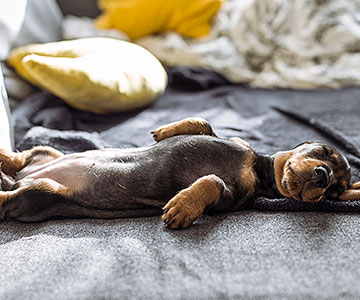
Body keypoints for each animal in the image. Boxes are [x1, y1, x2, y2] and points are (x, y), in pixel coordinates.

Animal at [0, 116, 360, 229]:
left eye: (336, 191)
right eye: (324, 152)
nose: (323, 177)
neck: (256, 167)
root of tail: (22, 179)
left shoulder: (230, 197)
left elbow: (212, 180)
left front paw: (183, 206)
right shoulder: (232, 142)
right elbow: (204, 124)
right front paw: (165, 131)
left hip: (39, 192)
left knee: (8, 197)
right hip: (44, 155)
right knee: (21, 157)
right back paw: (5, 156)